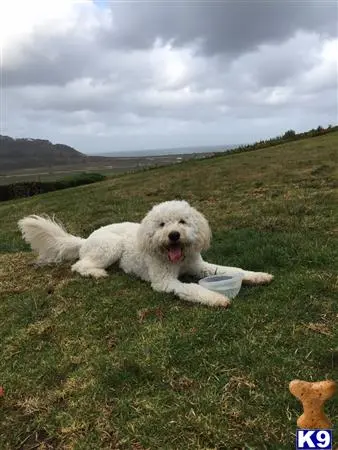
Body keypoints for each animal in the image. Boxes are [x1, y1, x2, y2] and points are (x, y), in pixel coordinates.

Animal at [18, 200, 274, 308]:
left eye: (182, 221)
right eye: (161, 224)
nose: (173, 235)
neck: (177, 259)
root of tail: (85, 239)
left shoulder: (198, 266)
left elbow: (232, 270)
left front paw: (258, 275)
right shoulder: (163, 281)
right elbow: (192, 288)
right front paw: (216, 298)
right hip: (110, 246)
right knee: (79, 265)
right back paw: (97, 273)